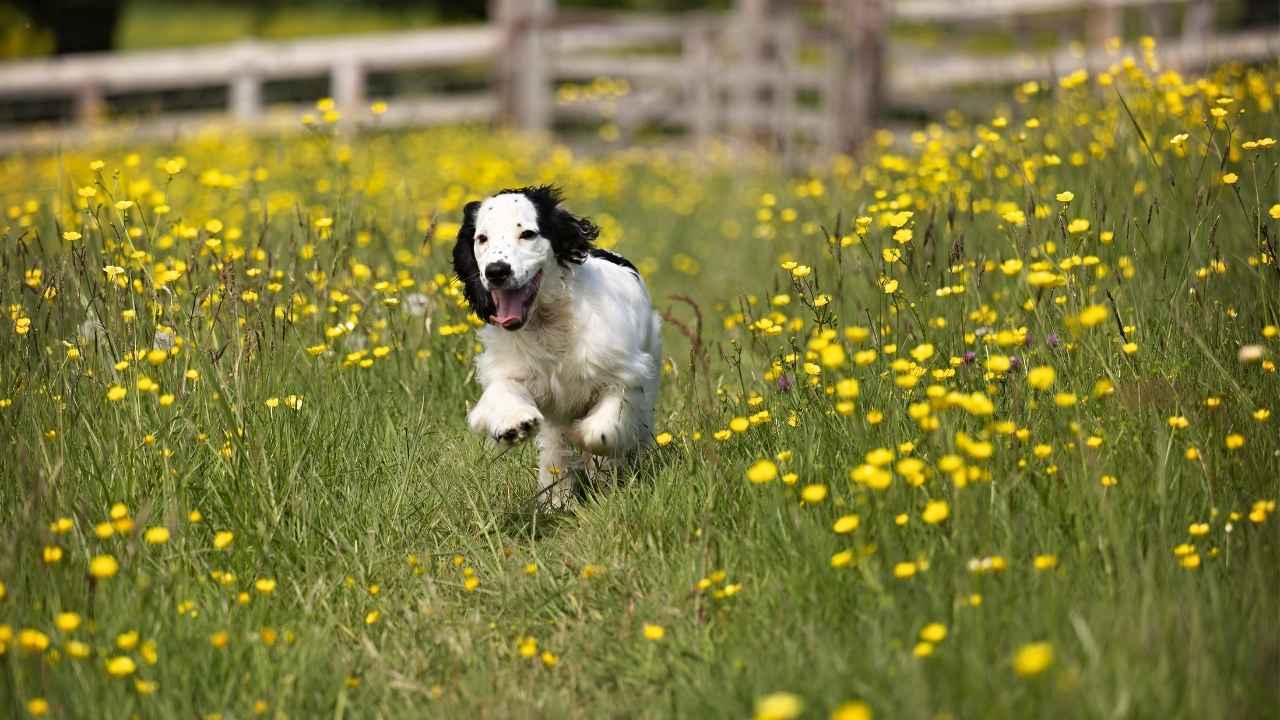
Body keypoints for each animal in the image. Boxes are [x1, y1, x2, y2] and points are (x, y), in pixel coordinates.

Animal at [453, 184, 660, 504]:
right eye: (482, 238)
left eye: (527, 234)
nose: (496, 271)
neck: (549, 322)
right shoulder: (515, 371)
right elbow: (504, 392)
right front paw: (514, 424)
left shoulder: (624, 372)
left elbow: (607, 422)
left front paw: (592, 440)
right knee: (555, 448)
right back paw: (557, 500)